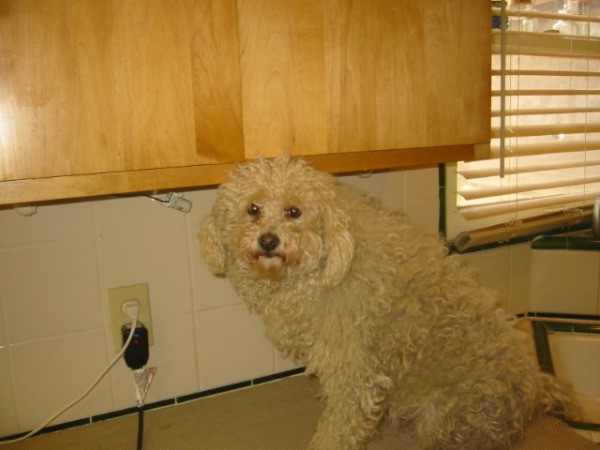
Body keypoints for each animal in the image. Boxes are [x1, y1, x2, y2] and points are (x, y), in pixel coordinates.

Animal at [202, 156, 576, 450]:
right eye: (253, 209)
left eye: (294, 212)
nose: (268, 240)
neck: (327, 264)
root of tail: (532, 394)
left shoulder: (354, 372)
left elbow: (339, 429)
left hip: (443, 416)